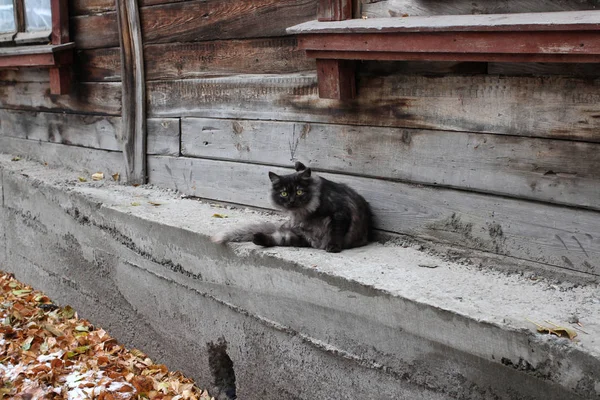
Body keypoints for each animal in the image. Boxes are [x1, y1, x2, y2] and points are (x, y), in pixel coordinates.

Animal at [211, 161, 370, 252]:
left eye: (299, 191)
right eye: (284, 193)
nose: (292, 201)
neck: (305, 212)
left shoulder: (340, 214)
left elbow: (336, 233)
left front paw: (333, 247)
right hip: (298, 235)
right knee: (278, 239)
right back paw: (258, 238)